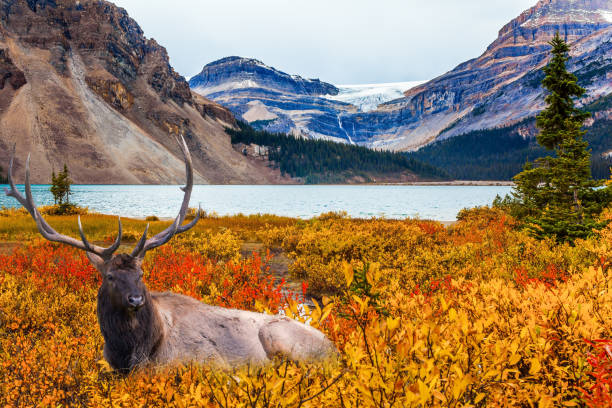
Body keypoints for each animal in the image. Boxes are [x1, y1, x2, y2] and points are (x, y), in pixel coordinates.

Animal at [3, 138, 334, 372]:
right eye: (110, 276)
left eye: (141, 274)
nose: (136, 299)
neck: (134, 352)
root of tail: (335, 349)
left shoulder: (208, 363)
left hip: (281, 340)